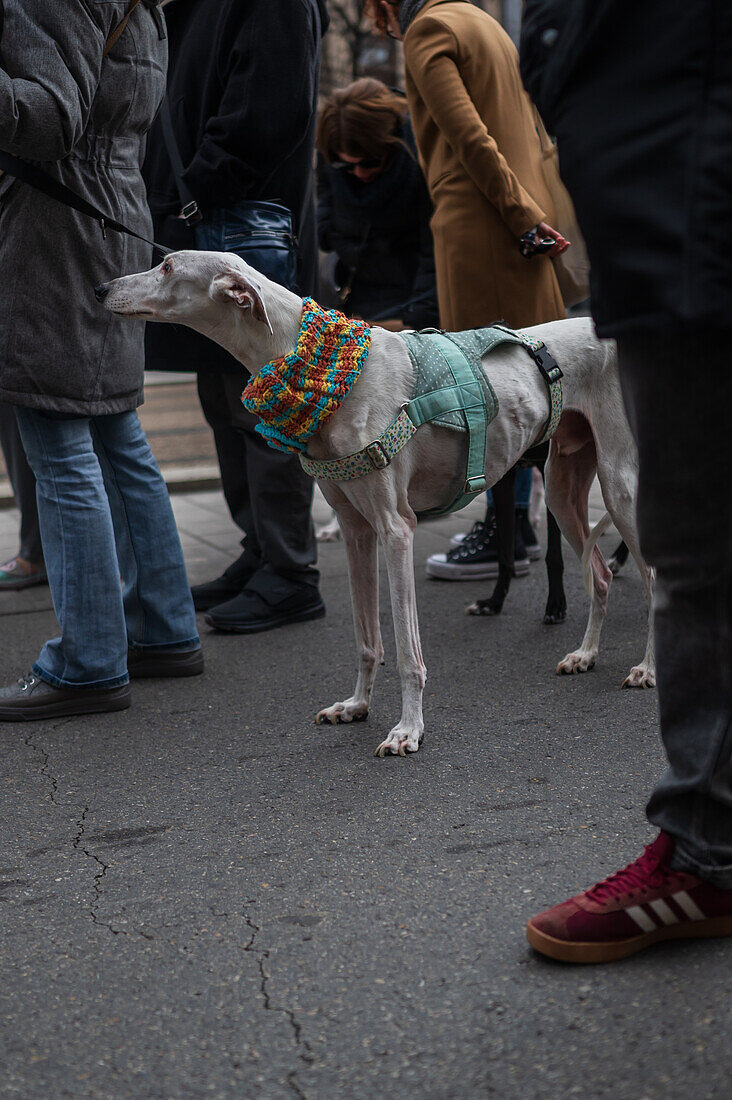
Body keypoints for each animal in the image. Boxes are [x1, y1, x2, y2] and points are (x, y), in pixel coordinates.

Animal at [95, 249, 651, 756]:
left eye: (167, 267)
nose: (101, 289)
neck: (323, 367)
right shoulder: (356, 529)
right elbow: (368, 639)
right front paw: (357, 705)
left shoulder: (395, 528)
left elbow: (406, 651)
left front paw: (408, 730)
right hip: (561, 485)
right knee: (601, 574)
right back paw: (585, 653)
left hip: (620, 486)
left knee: (651, 578)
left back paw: (645, 667)